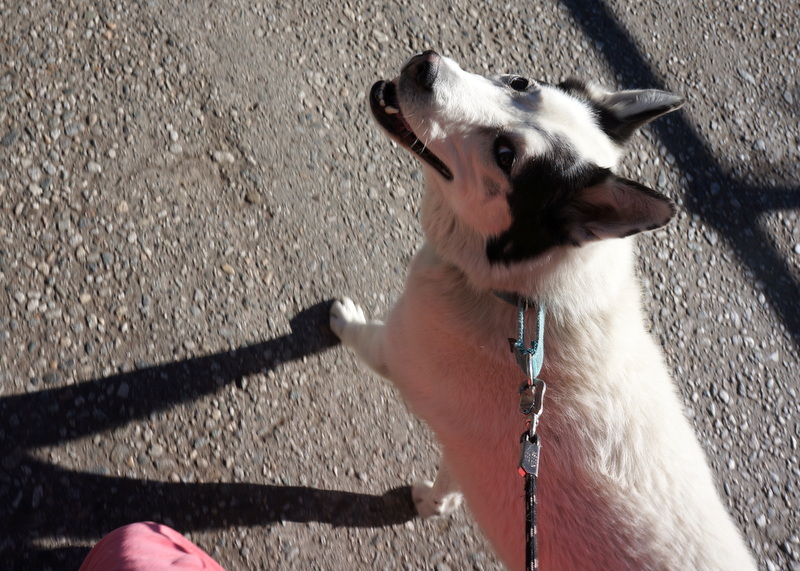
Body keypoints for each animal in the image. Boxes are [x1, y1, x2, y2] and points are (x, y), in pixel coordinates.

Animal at [330, 51, 756, 570]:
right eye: (519, 81)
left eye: (505, 156)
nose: (425, 65)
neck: (522, 295)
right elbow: (453, 480)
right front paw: (435, 502)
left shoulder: (395, 350)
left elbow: (358, 335)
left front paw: (341, 318)